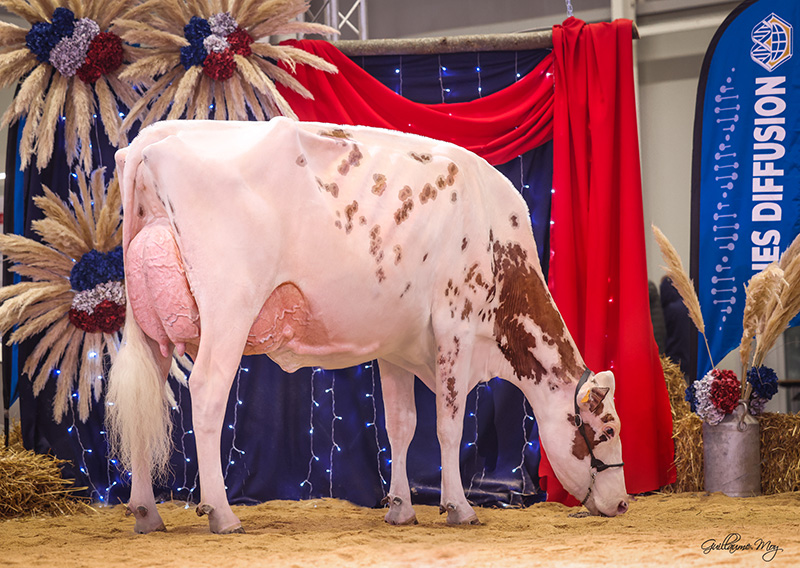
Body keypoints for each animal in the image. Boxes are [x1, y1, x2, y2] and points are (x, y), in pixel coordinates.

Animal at [108, 117, 632, 536]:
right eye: (606, 429)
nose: (625, 503)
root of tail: (151, 137)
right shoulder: (455, 328)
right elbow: (447, 424)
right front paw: (459, 508)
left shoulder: (396, 344)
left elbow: (401, 425)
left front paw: (401, 508)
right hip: (229, 307)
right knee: (207, 394)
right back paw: (222, 513)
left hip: (149, 325)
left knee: (146, 399)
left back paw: (146, 513)